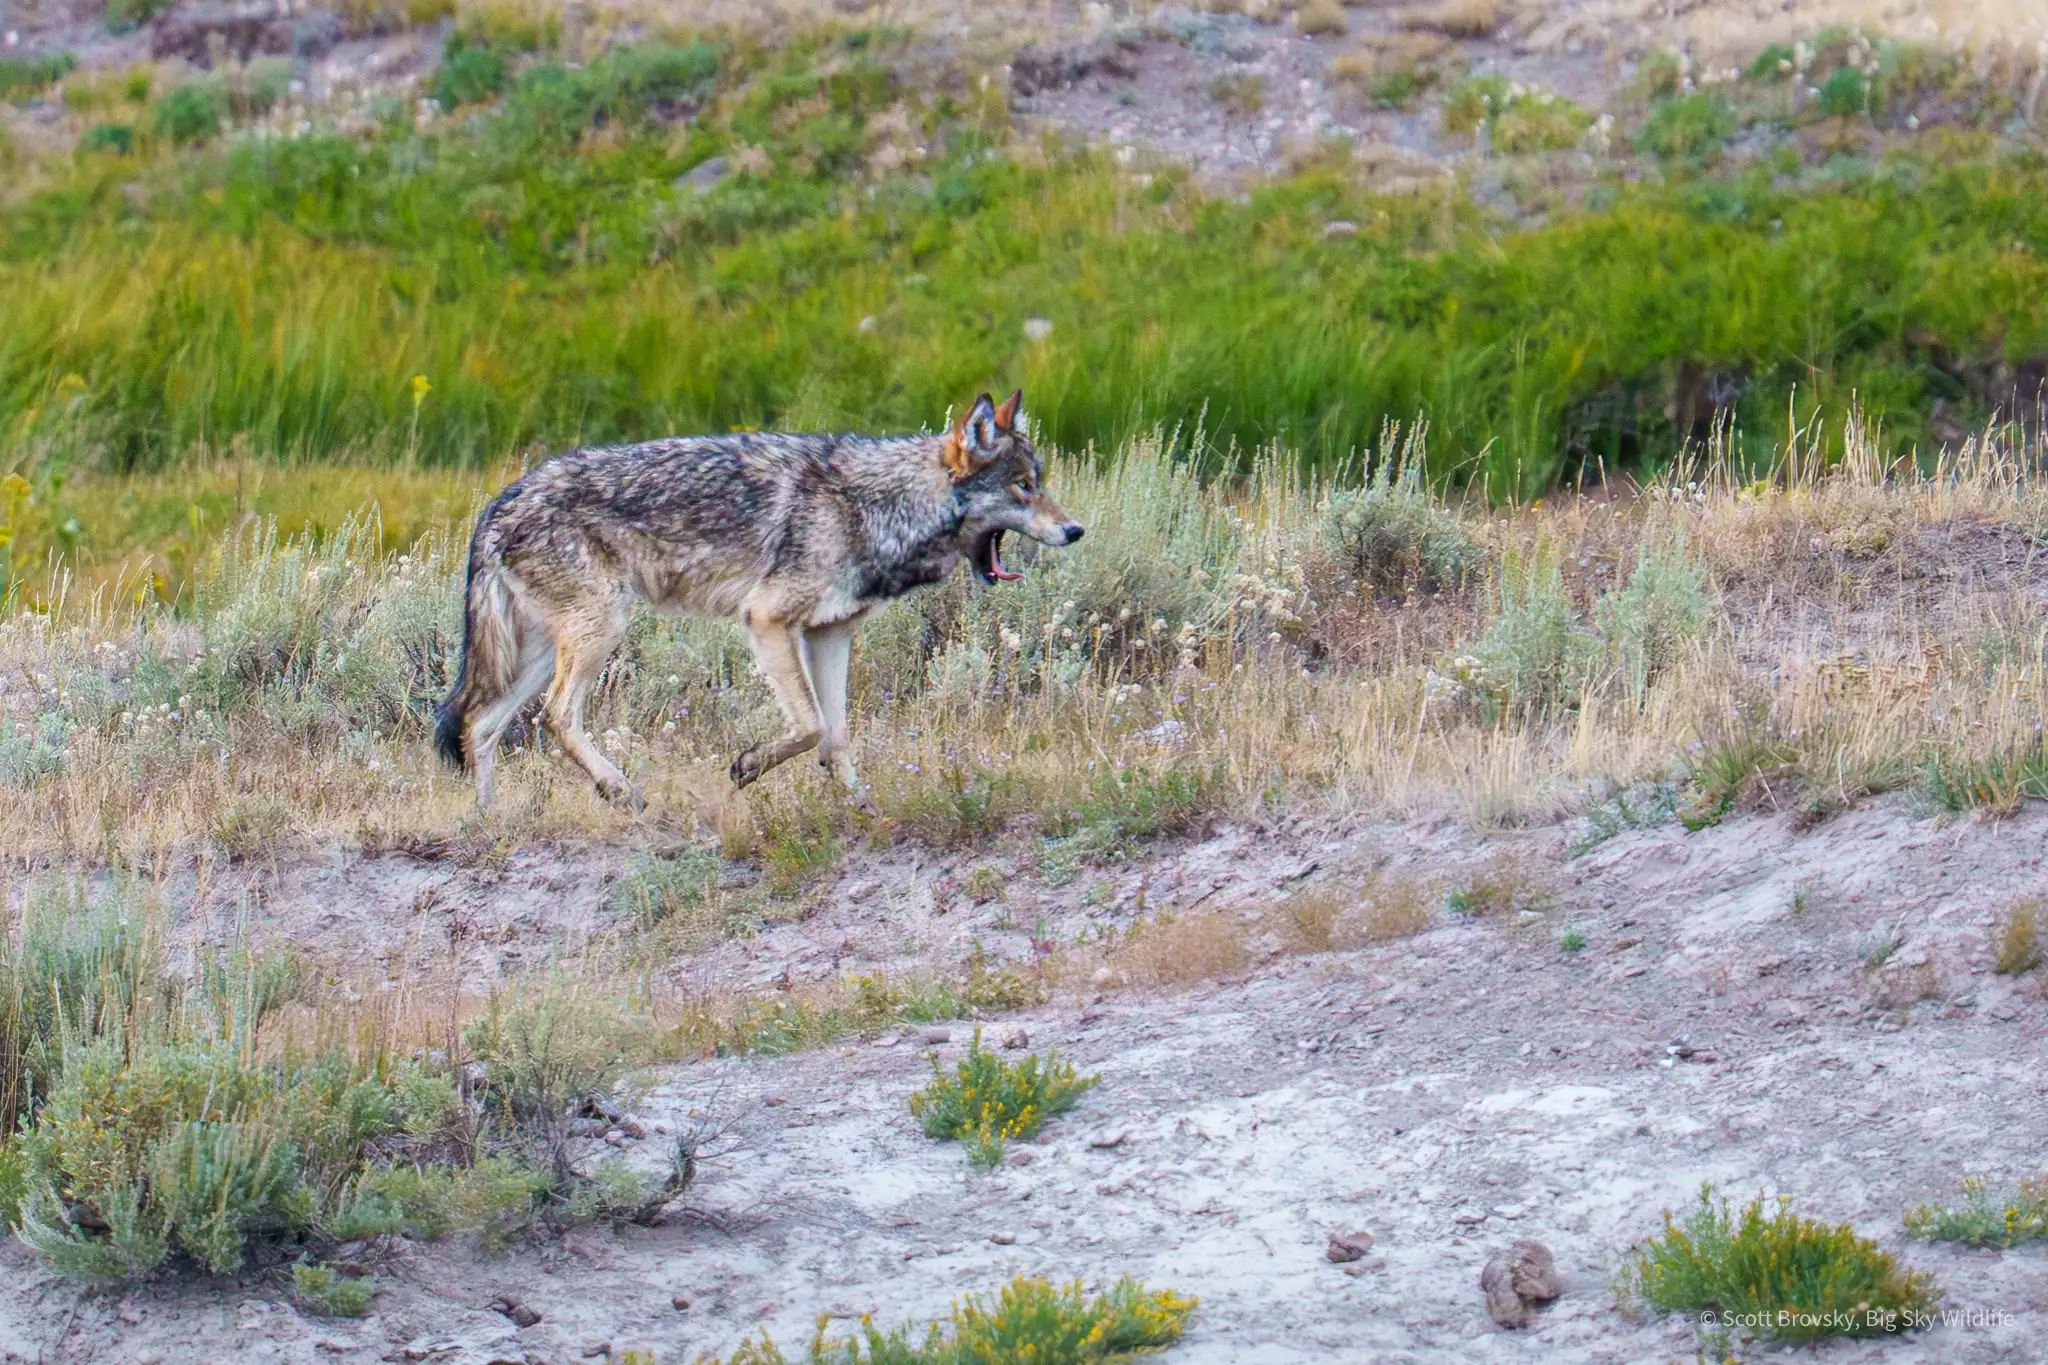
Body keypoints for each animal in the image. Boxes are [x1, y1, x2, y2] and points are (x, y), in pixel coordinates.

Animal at [433, 390, 1082, 812]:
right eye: (1023, 487)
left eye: (1040, 482)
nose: (1075, 531)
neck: (880, 505)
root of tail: (496, 504)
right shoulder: (768, 621)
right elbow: (811, 725)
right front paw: (745, 767)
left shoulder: (831, 633)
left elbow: (836, 734)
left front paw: (860, 806)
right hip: (599, 632)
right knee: (554, 718)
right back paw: (619, 791)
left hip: (547, 652)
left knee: (480, 724)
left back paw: (490, 823)